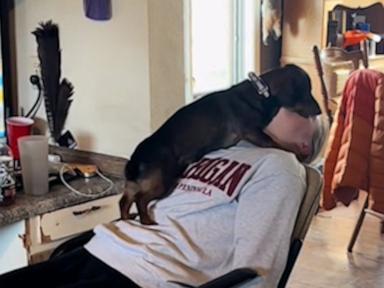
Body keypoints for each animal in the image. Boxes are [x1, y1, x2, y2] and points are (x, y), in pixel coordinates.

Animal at [120, 64, 320, 224]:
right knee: (140, 200)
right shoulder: (252, 132)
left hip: (137, 184)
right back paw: (147, 221)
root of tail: (135, 160)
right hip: (162, 181)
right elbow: (276, 142)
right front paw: (297, 153)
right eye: (307, 91)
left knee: (124, 200)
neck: (260, 94)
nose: (320, 111)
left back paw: (127, 217)